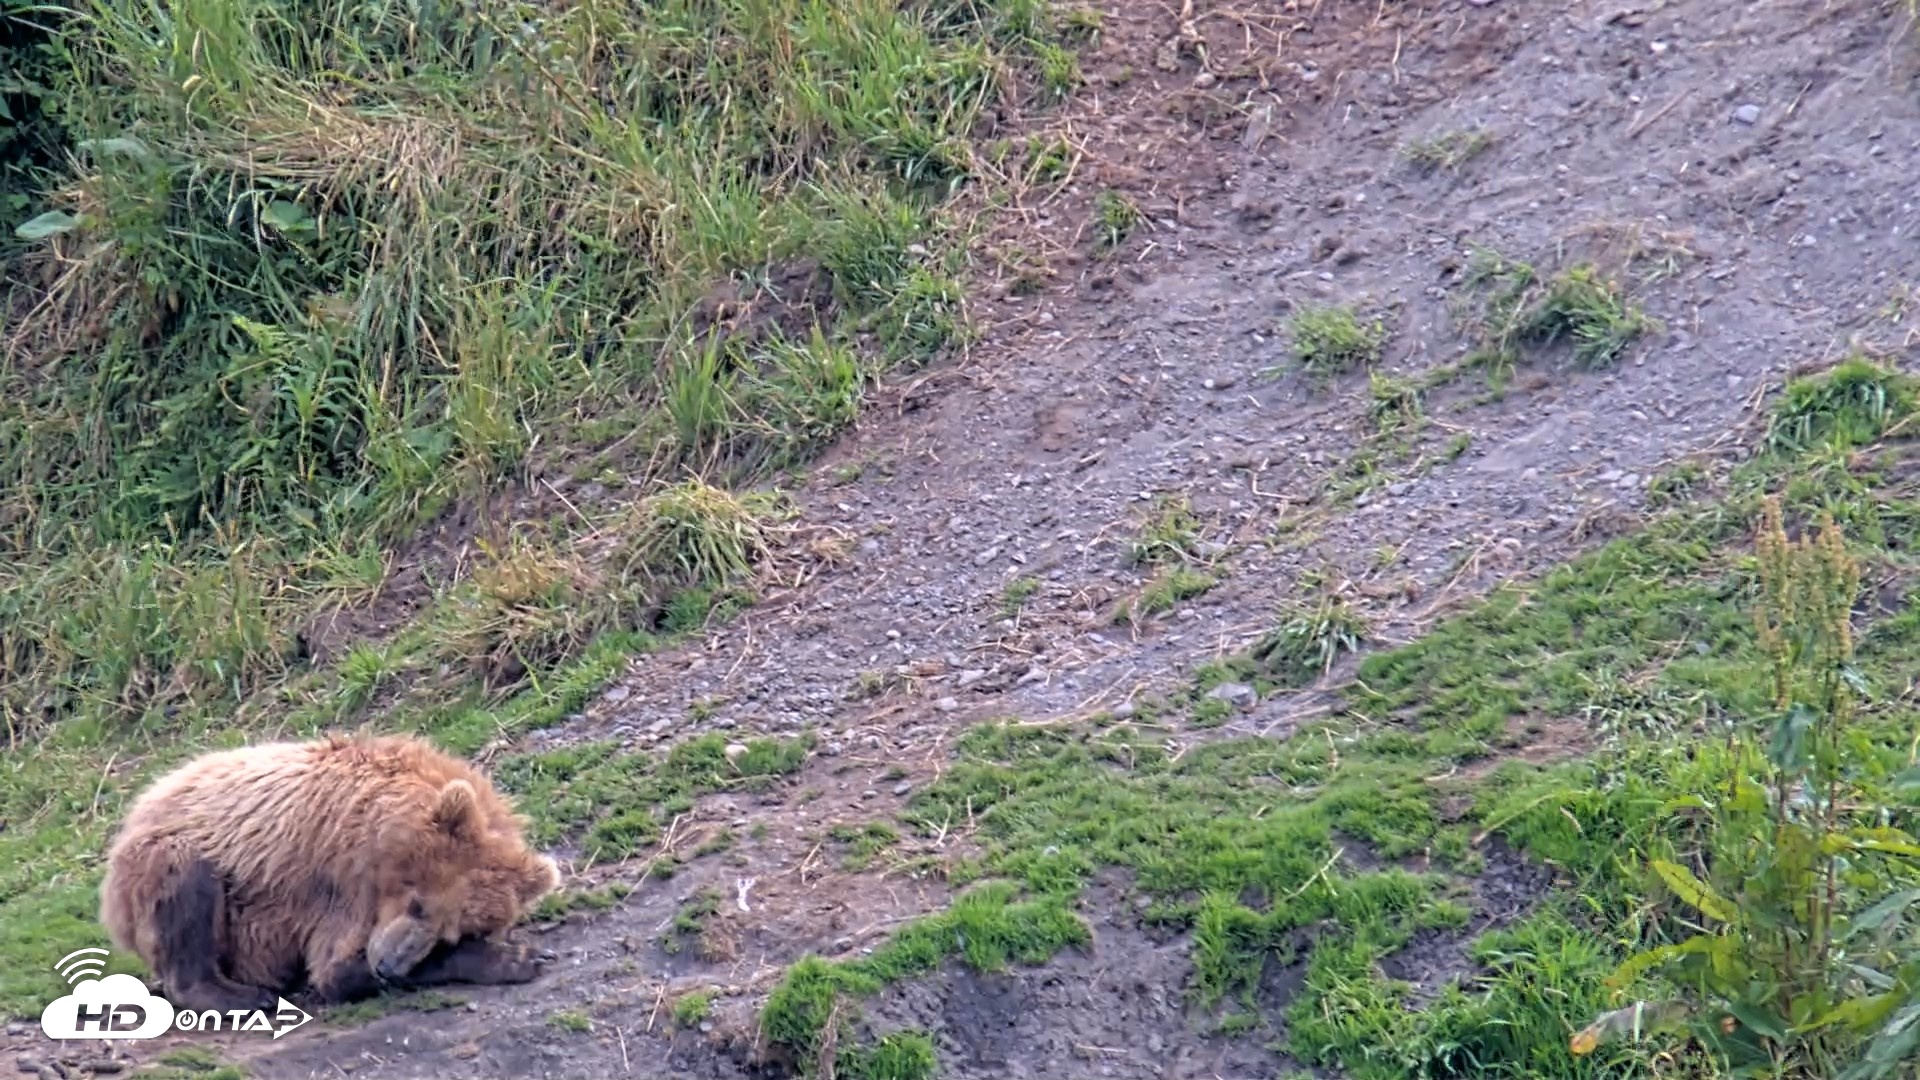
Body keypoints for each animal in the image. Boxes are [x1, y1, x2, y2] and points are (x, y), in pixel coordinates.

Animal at [100, 732, 561, 1012]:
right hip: (158, 864)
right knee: (184, 878)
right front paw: (516, 958)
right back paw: (240, 994)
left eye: (457, 931)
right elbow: (334, 969)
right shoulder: (338, 877)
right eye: (418, 904)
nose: (389, 965)